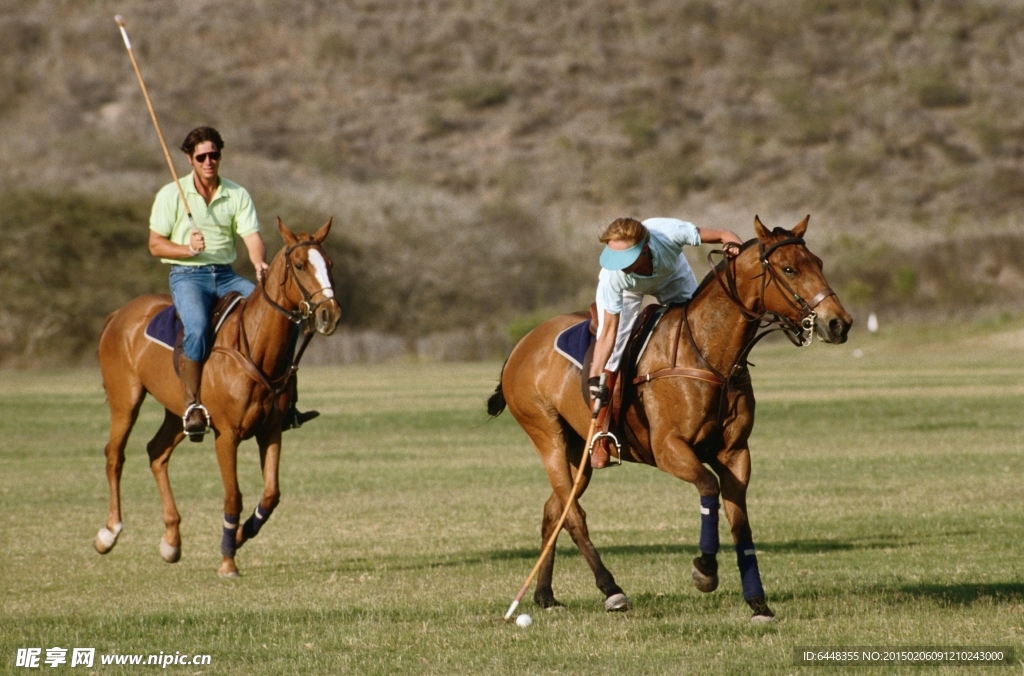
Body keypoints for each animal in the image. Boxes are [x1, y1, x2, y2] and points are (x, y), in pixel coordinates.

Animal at [93, 220, 339, 577]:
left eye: (329, 264)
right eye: (299, 265)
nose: (330, 315)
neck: (256, 348)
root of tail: (119, 314)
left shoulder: (271, 431)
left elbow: (271, 494)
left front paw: (237, 537)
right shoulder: (227, 436)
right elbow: (233, 496)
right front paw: (227, 560)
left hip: (178, 412)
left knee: (156, 452)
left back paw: (171, 540)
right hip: (125, 399)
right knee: (115, 455)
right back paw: (109, 533)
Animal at [491, 218, 851, 622]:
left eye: (818, 262)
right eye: (789, 269)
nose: (839, 323)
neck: (710, 355)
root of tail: (519, 347)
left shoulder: (736, 453)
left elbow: (741, 522)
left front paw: (758, 603)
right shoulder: (668, 449)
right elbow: (708, 488)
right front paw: (705, 571)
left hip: (577, 451)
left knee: (555, 510)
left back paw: (544, 595)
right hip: (546, 435)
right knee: (574, 514)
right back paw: (611, 589)